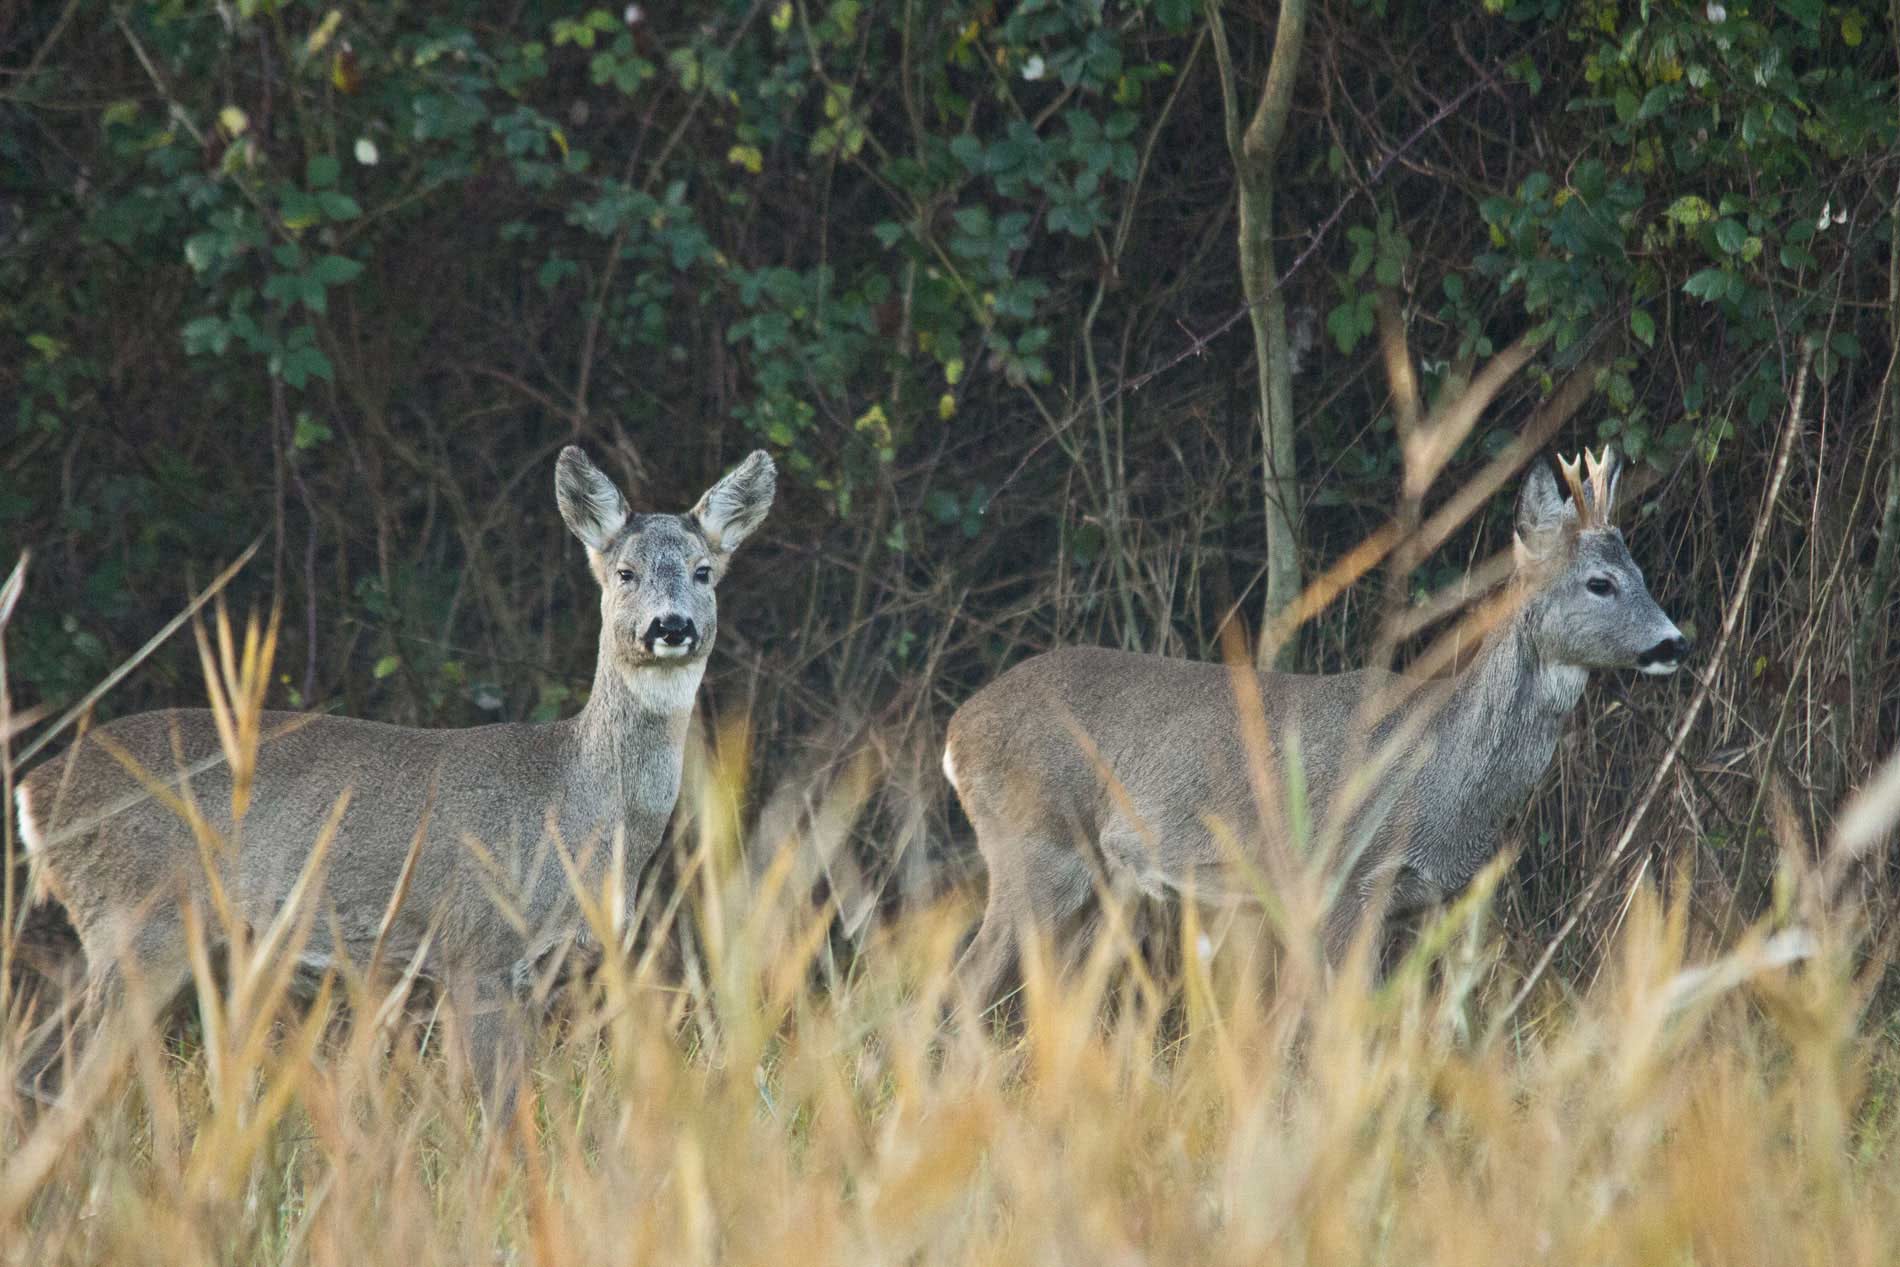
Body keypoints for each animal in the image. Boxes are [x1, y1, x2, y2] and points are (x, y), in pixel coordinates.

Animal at [14, 446, 771, 1116]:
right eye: (624, 571)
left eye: (705, 571)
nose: (670, 626)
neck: (576, 806)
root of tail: (32, 792)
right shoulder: (477, 939)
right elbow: (501, 1113)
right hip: (134, 918)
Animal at [950, 446, 1694, 1002]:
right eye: (1600, 582)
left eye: (1641, 571)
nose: (1675, 642)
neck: (1440, 770)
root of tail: (957, 734)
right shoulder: (1341, 881)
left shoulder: (1422, 902)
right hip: (1034, 846)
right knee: (967, 979)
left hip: (1095, 881)